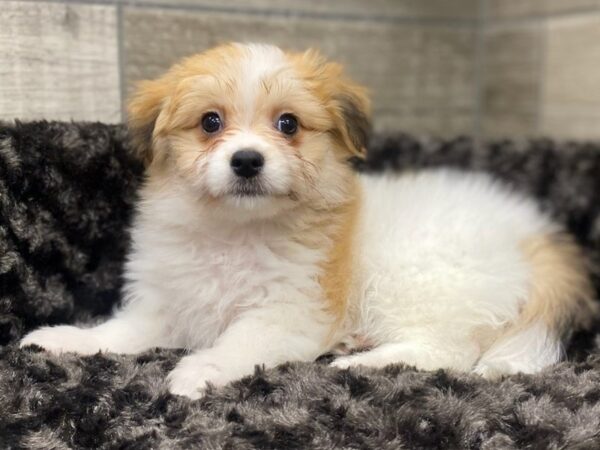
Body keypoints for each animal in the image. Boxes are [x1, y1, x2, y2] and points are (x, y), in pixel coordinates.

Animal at [21, 44, 596, 400]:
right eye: (210, 122)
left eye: (288, 124)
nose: (247, 161)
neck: (236, 230)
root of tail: (530, 234)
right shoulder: (169, 301)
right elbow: (119, 331)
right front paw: (64, 340)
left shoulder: (287, 309)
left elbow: (240, 342)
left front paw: (201, 369)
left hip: (421, 279)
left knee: (446, 351)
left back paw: (362, 362)